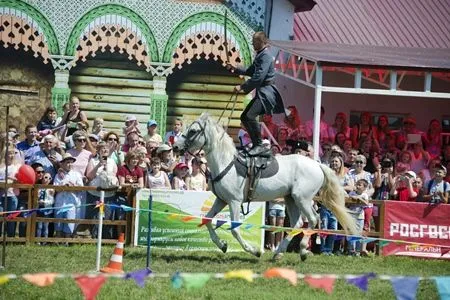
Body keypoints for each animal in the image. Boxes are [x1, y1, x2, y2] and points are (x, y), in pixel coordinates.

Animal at [174, 113, 356, 262]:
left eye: (193, 131)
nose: (176, 147)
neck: (225, 163)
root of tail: (318, 165)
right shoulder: (222, 200)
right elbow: (207, 220)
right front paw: (222, 245)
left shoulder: (234, 201)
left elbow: (234, 229)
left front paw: (254, 251)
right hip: (291, 199)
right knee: (298, 223)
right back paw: (279, 253)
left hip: (302, 199)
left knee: (312, 219)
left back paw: (303, 251)